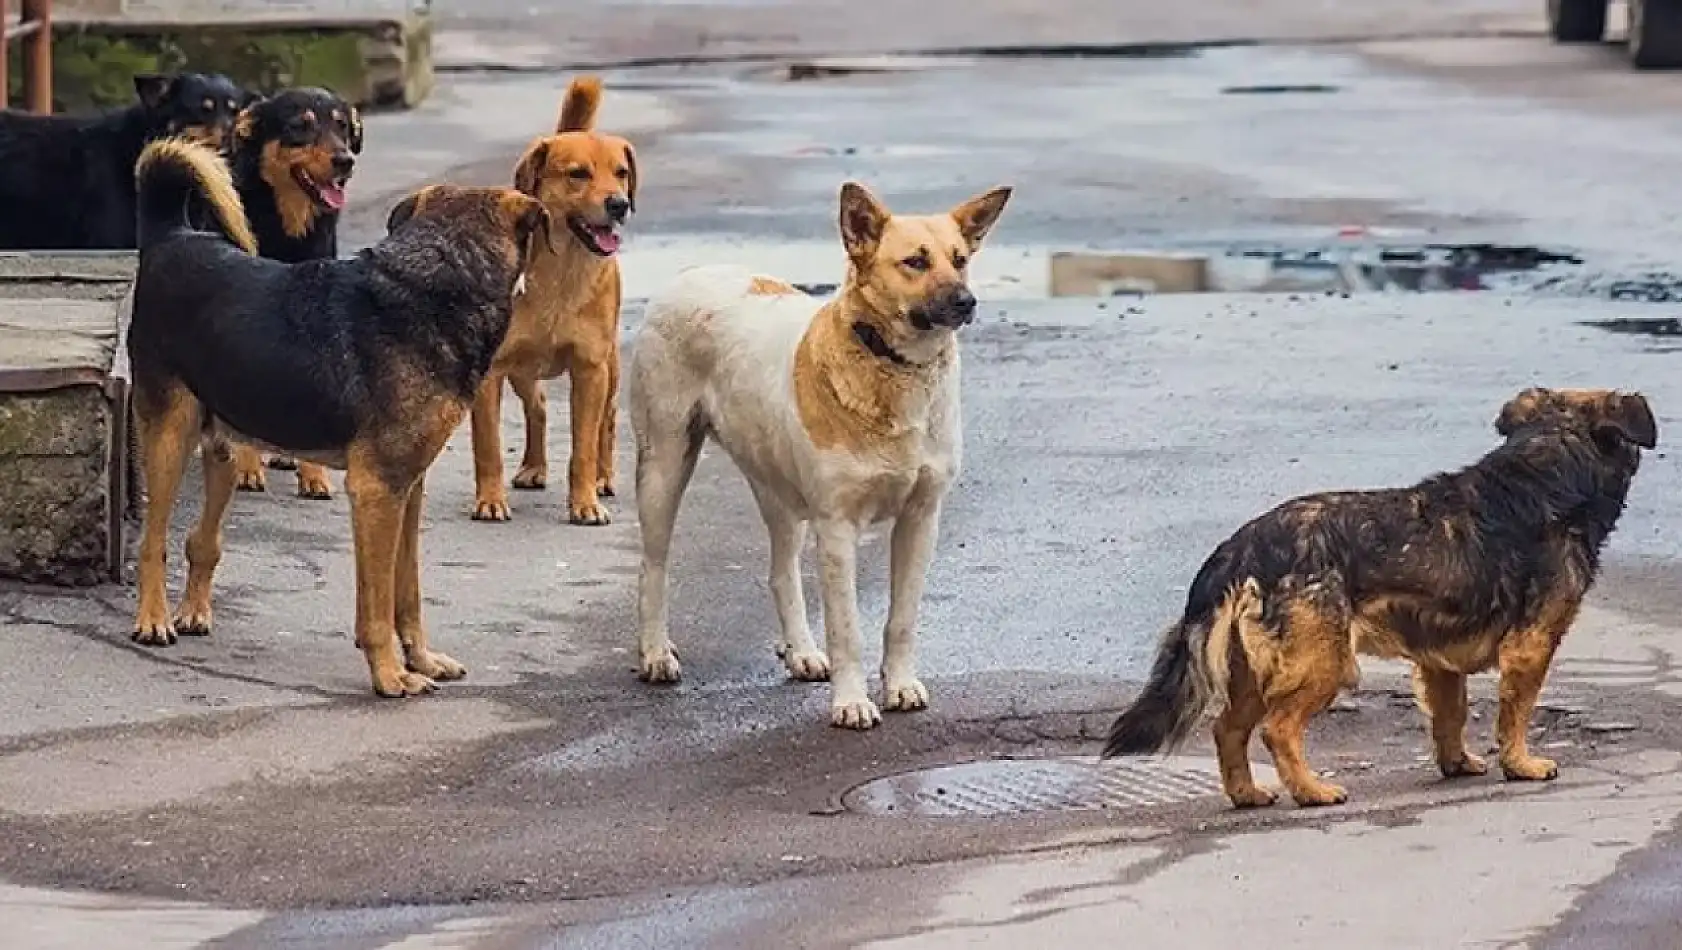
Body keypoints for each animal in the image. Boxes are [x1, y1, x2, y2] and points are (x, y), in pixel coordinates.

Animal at [218, 87, 363, 501]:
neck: (288, 229)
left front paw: (313, 475)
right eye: (300, 126)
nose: (345, 161)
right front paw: (247, 467)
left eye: (342, 126)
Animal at [470, 76, 632, 524]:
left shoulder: (590, 369)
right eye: (578, 174)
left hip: (610, 368)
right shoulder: (490, 372)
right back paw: (533, 466)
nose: (620, 204)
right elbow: (488, 446)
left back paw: (603, 477)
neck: (561, 272)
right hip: (522, 370)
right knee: (538, 405)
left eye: (621, 173)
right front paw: (490, 500)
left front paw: (585, 502)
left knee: (608, 419)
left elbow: (584, 447)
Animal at [625, 181, 1002, 729]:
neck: (893, 366)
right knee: (653, 567)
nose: (966, 301)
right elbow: (847, 629)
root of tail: (691, 272)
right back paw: (655, 653)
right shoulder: (838, 527)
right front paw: (852, 702)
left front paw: (900, 684)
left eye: (960, 260)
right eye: (915, 261)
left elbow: (902, 619)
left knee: (781, 573)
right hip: (663, 468)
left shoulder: (921, 518)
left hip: (777, 488)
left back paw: (800, 651)